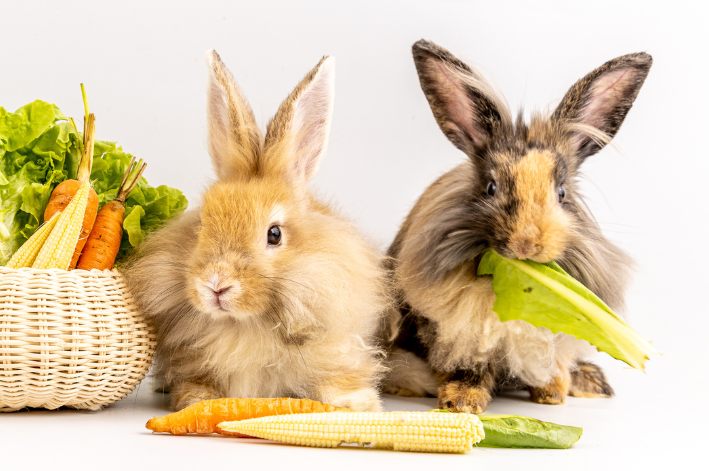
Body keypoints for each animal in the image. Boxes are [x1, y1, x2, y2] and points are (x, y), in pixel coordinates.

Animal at [125, 52, 388, 412]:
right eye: (202, 224)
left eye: (274, 234)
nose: (216, 285)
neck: (244, 325)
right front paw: (195, 400)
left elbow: (335, 380)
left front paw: (358, 404)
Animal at [384, 41, 648, 416]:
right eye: (491, 188)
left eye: (562, 193)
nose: (527, 244)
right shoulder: (460, 333)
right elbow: (468, 366)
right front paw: (462, 403)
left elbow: (553, 367)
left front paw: (553, 396)